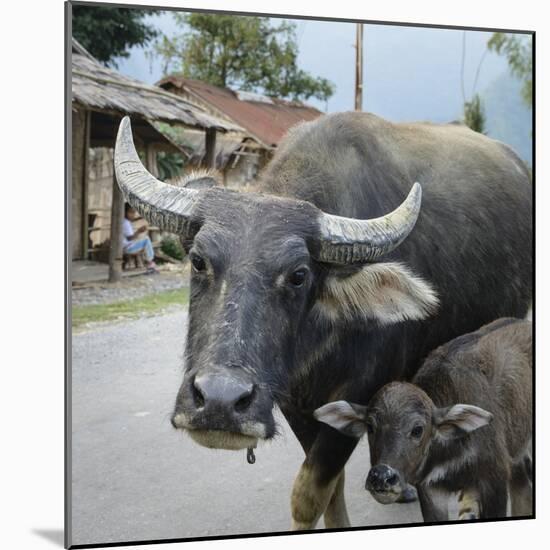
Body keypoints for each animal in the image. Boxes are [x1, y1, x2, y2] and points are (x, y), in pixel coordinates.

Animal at [314, 320, 536, 520]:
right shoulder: (430, 489)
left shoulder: (494, 481)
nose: (382, 477)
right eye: (370, 426)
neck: (451, 450)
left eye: (418, 429)